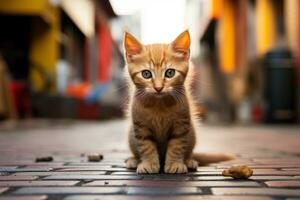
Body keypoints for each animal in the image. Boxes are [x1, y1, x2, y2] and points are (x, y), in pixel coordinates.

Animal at [123, 30, 233, 173]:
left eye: (170, 73)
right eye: (146, 74)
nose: (158, 88)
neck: (159, 105)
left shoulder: (181, 126)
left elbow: (177, 146)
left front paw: (175, 164)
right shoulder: (140, 128)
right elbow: (146, 146)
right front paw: (149, 164)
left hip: (191, 133)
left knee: (188, 152)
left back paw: (189, 161)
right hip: (131, 134)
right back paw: (134, 160)